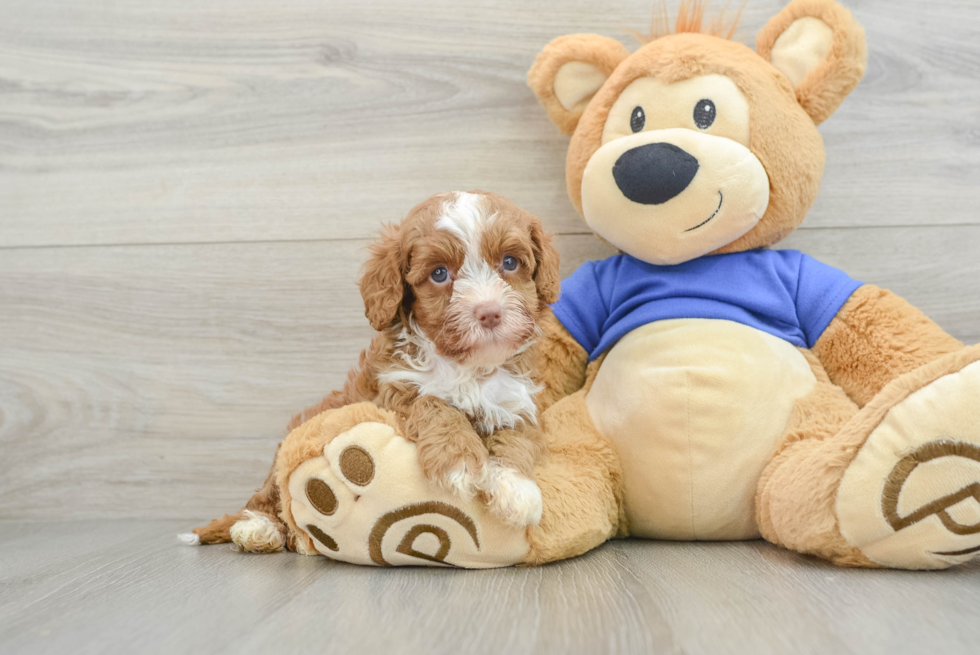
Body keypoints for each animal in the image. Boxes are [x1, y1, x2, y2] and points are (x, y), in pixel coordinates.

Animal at [292, 190, 560, 528]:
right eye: (439, 273)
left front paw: (518, 490)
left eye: (510, 262)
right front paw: (458, 461)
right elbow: (433, 402)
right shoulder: (391, 391)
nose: (489, 312)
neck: (468, 368)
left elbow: (519, 436)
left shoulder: (516, 401)